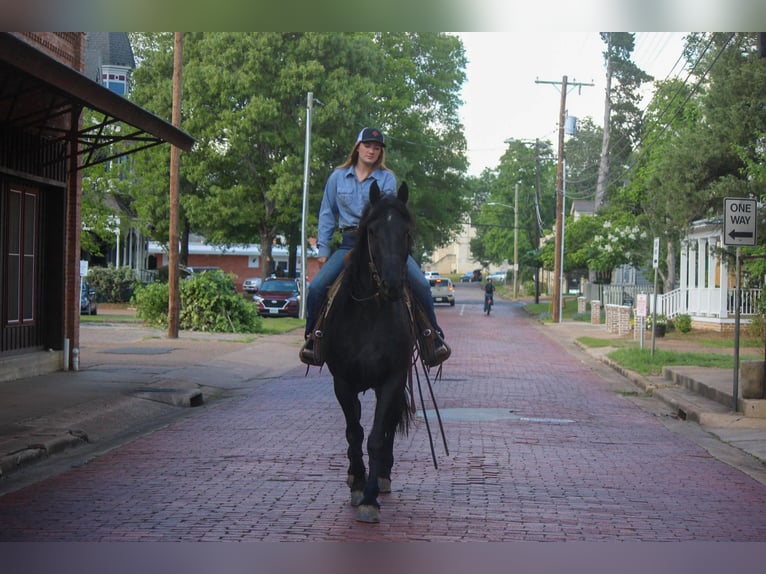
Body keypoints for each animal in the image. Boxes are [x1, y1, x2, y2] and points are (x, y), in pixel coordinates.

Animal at [326, 181, 420, 528]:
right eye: (373, 231)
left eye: (406, 231)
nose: (393, 284)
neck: (368, 312)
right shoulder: (342, 381)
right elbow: (354, 431)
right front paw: (356, 483)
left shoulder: (392, 378)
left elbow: (378, 436)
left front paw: (370, 498)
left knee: (389, 424)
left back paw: (382, 477)